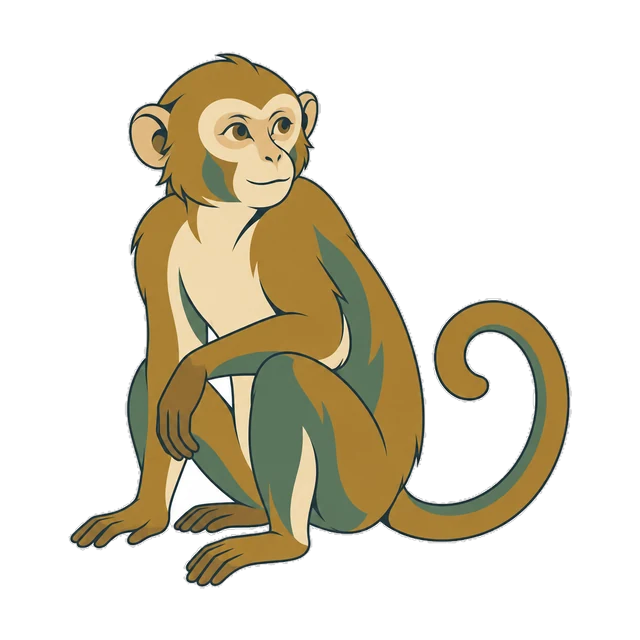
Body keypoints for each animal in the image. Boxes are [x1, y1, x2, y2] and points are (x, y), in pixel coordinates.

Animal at [70, 54, 570, 587]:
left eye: (282, 126)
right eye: (238, 132)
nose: (275, 157)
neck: (227, 217)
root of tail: (393, 494)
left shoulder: (285, 228)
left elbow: (320, 335)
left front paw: (196, 370)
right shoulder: (158, 234)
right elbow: (171, 356)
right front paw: (145, 513)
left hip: (356, 488)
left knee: (286, 372)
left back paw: (281, 539)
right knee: (158, 384)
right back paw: (252, 513)